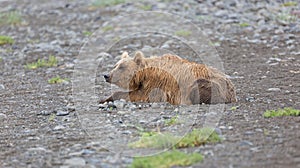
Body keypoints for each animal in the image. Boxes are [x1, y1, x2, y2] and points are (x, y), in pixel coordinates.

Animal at [101, 50, 237, 105]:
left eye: (122, 67)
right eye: (115, 65)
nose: (107, 75)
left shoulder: (159, 84)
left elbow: (141, 95)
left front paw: (105, 99)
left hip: (210, 85)